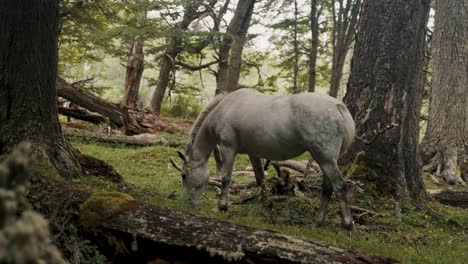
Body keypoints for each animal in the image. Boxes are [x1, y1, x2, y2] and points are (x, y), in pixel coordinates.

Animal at [175, 88, 354, 229]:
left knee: (339, 186)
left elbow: (226, 178)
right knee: (328, 188)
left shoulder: (228, 148)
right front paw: (267, 205)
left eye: (184, 175)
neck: (225, 108)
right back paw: (318, 222)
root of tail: (339, 107)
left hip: (325, 159)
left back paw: (346, 225)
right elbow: (260, 178)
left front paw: (222, 206)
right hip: (325, 160)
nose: (187, 201)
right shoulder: (253, 153)